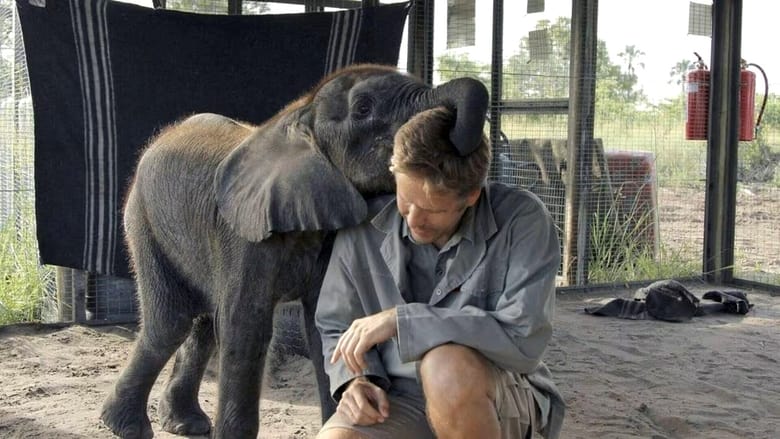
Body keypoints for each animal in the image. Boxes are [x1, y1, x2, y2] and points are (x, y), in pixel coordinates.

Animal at [99, 63, 489, 439]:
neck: (302, 116)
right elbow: (246, 326)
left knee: (202, 326)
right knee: (171, 322)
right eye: (363, 109)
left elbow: (325, 322)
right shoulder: (244, 235)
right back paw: (126, 427)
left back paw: (185, 425)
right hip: (143, 219)